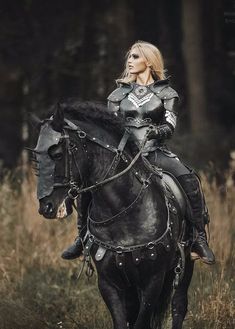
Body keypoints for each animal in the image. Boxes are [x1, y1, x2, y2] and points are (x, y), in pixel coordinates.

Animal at [31, 100, 195, 328]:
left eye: (57, 154)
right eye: (37, 156)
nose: (46, 207)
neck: (123, 212)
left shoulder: (152, 280)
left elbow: (142, 321)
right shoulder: (109, 283)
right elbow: (122, 321)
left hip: (186, 264)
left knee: (179, 305)